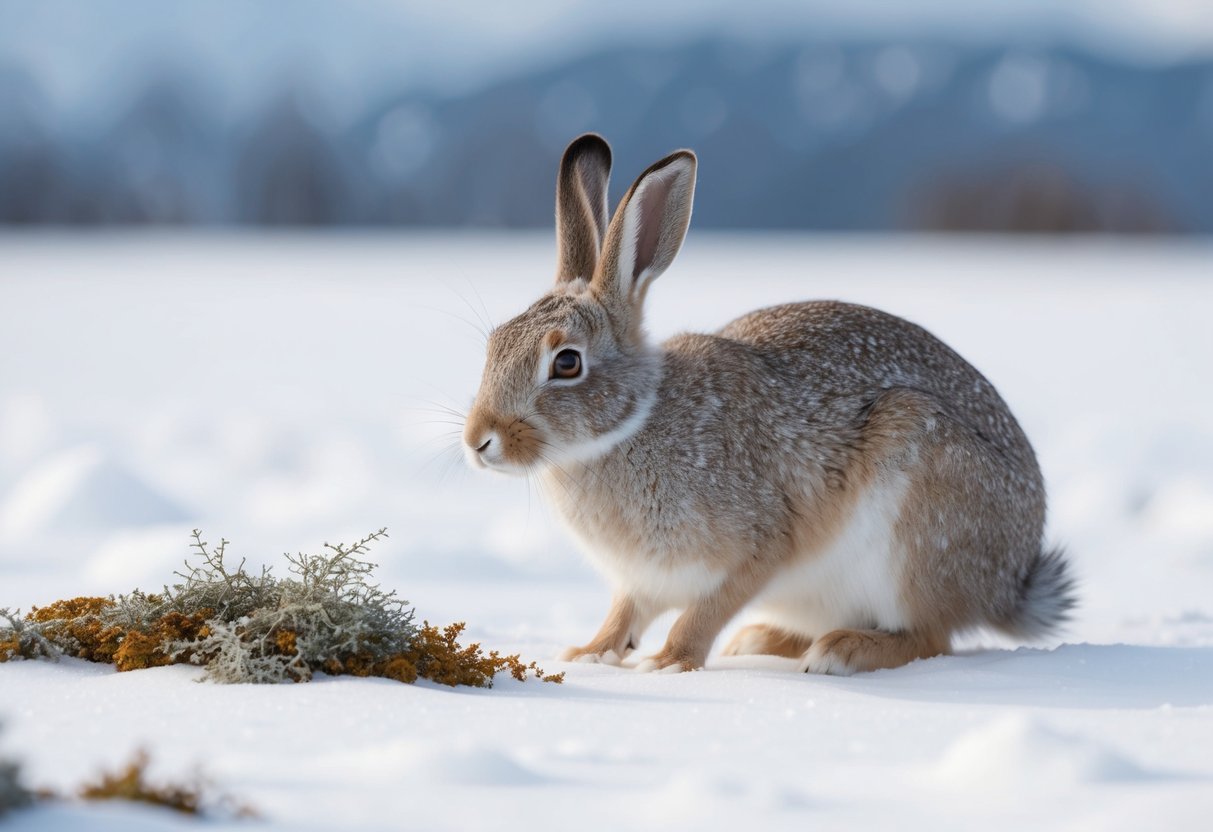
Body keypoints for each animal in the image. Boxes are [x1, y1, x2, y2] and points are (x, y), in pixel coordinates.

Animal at [462, 133, 1076, 675]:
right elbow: (623, 615)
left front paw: (668, 662)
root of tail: (1010, 583)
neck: (630, 425)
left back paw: (839, 652)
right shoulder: (638, 581)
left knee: (930, 637)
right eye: (494, 344)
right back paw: (760, 640)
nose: (479, 441)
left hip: (917, 512)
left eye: (566, 363)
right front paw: (589, 654)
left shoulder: (759, 545)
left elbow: (704, 612)